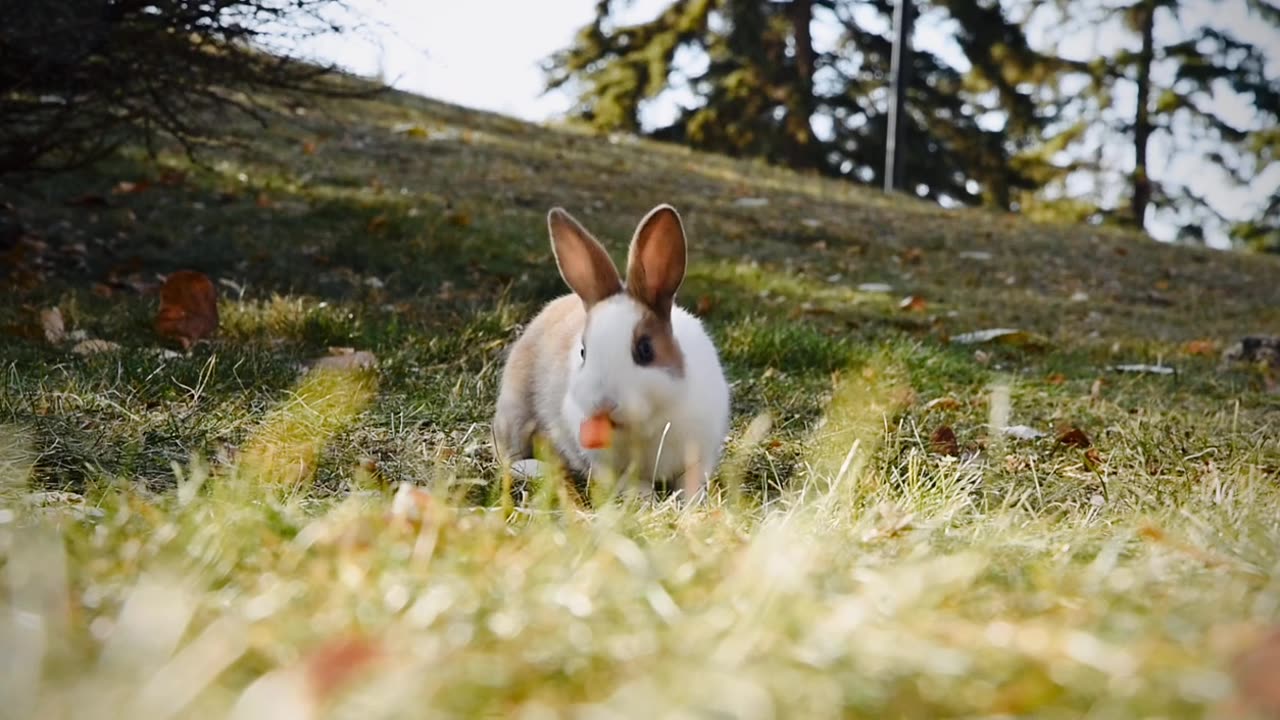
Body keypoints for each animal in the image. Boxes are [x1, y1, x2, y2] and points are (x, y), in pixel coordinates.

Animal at [488, 198, 732, 497]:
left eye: (645, 350)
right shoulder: (608, 467)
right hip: (515, 413)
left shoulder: (699, 454)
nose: (602, 404)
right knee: (509, 455)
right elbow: (632, 484)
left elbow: (690, 481)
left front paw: (689, 501)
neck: (645, 426)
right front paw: (645, 499)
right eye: (583, 352)